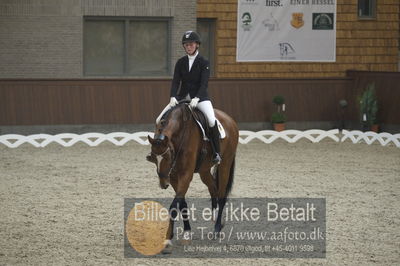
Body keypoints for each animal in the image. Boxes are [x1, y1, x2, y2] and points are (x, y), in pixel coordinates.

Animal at [148, 102, 239, 251]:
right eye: (154, 158)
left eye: (167, 156)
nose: (163, 183)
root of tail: (230, 119)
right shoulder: (174, 176)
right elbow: (182, 204)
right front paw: (186, 233)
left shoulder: (185, 175)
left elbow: (174, 206)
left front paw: (168, 239)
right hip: (204, 170)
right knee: (213, 188)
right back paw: (215, 218)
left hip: (225, 164)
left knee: (221, 195)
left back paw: (217, 229)